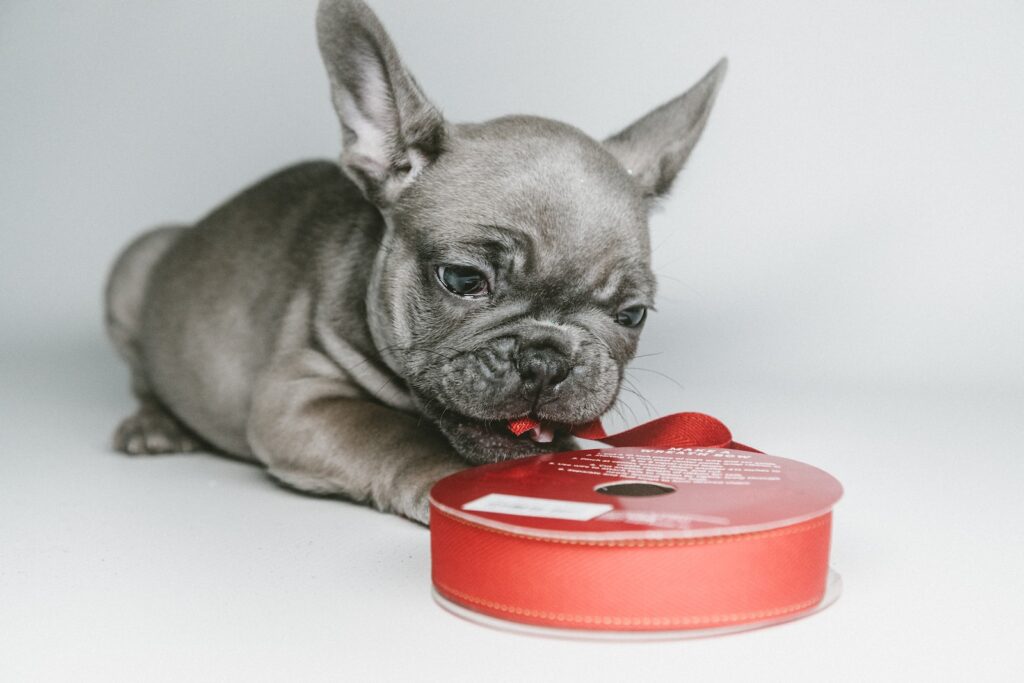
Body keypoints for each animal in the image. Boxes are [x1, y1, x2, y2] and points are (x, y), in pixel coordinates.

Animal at [103, 0, 729, 524]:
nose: (546, 358)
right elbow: (394, 434)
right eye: (463, 279)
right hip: (133, 268)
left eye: (632, 315)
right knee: (142, 375)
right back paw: (154, 424)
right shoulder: (298, 399)